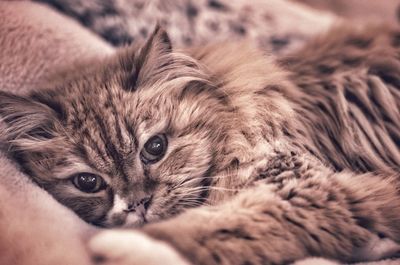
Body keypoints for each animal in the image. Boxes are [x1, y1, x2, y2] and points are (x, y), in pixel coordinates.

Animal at [0, 24, 400, 262]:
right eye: (87, 182)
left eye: (155, 148)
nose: (138, 204)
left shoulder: (306, 189)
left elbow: (207, 227)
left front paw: (123, 247)